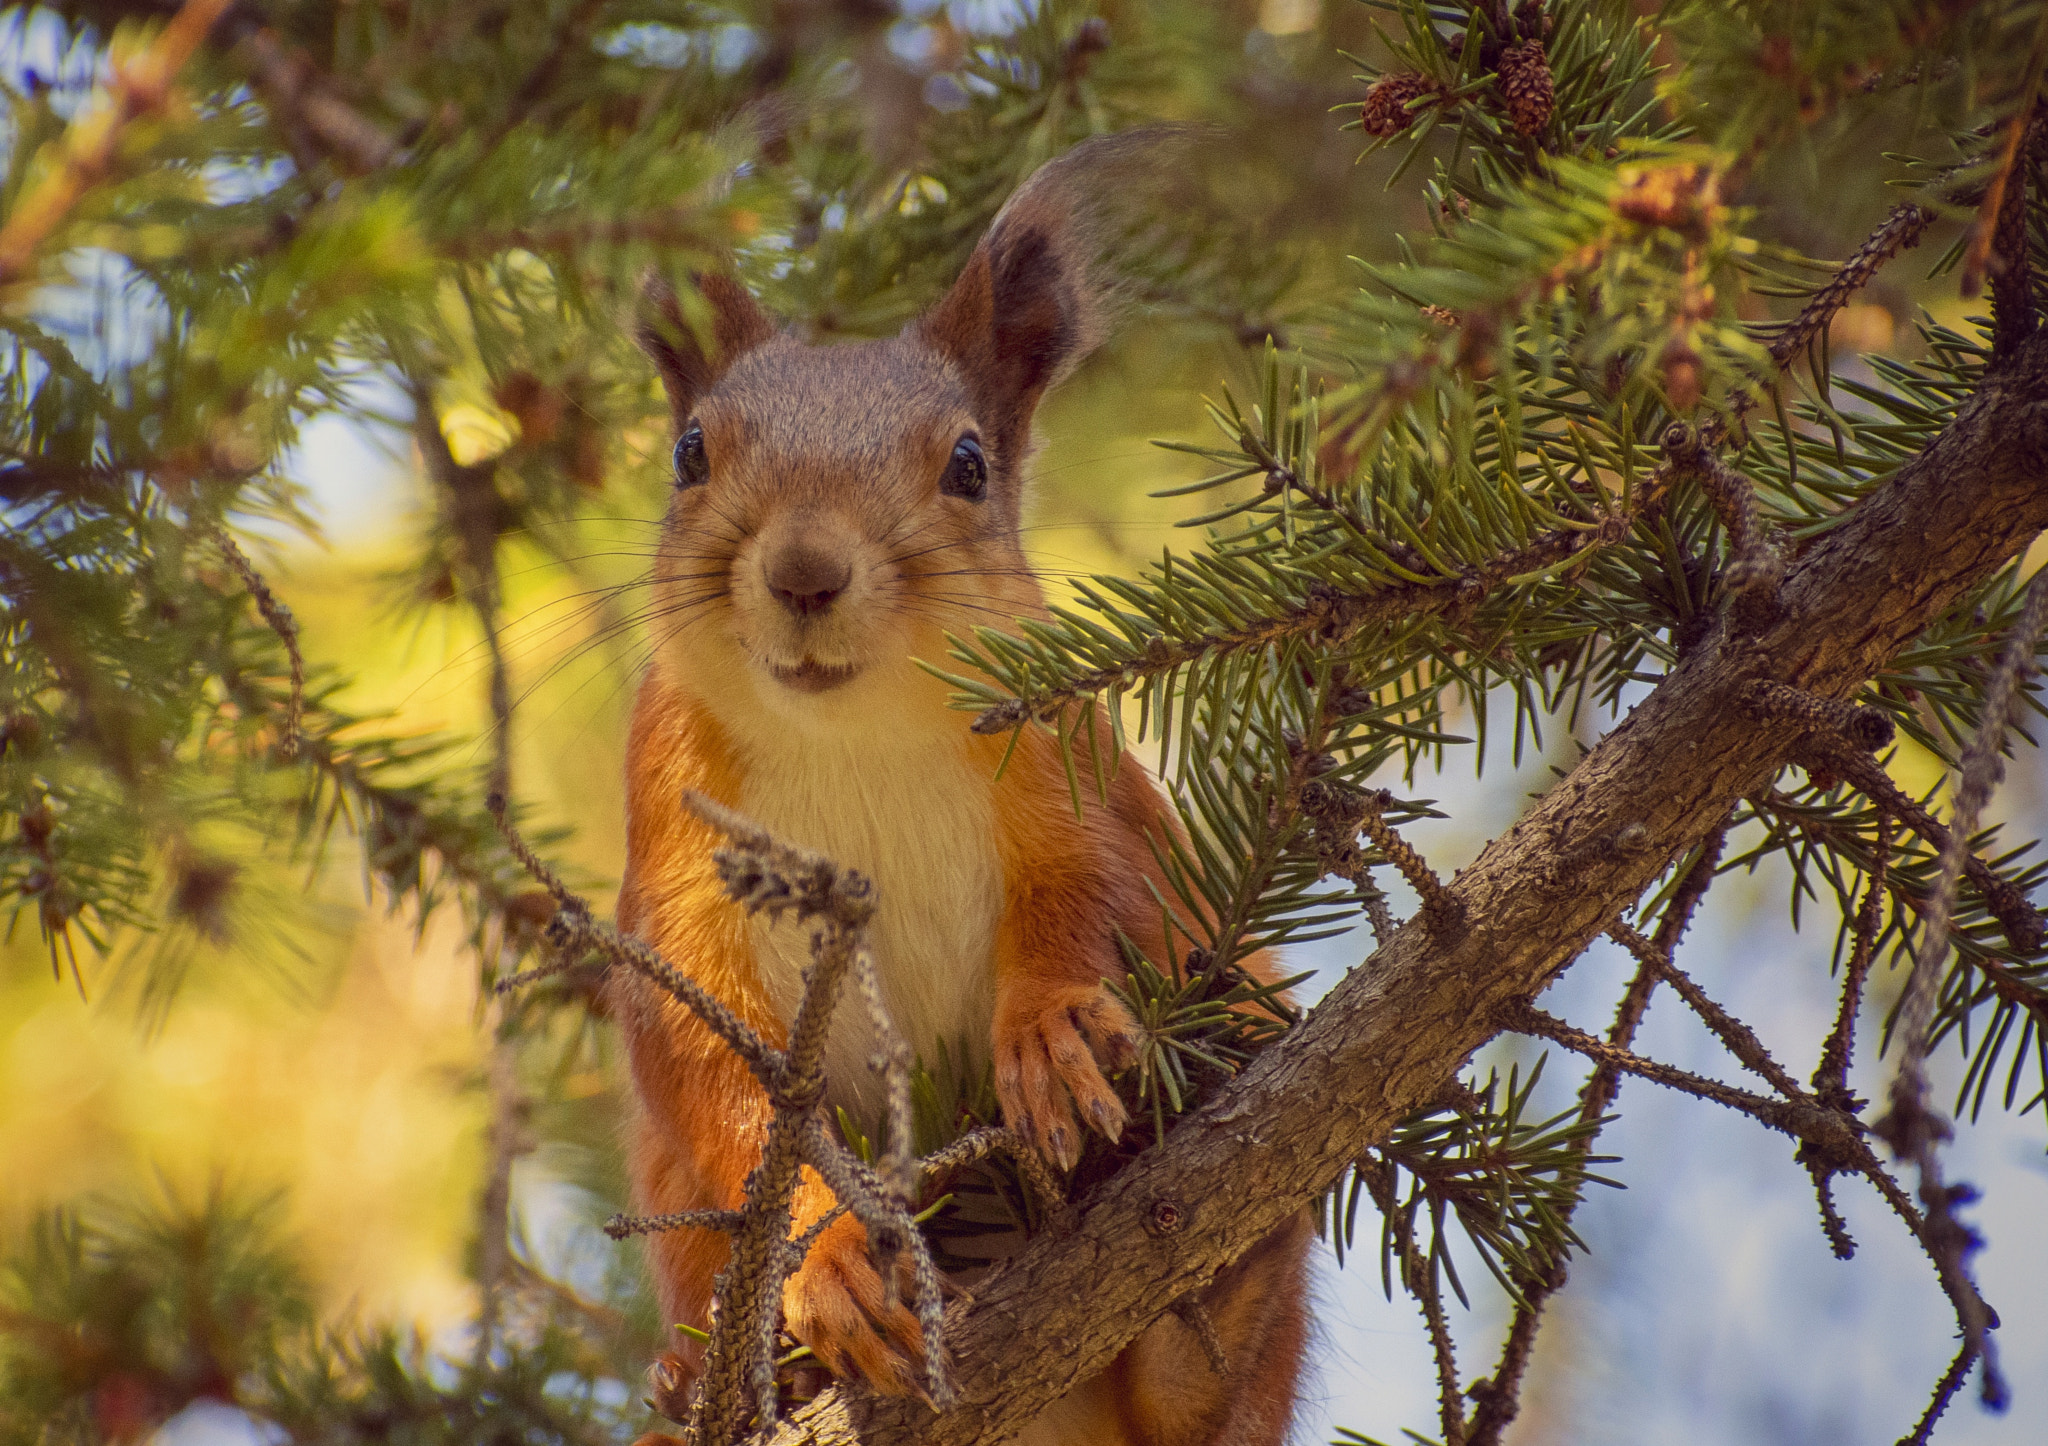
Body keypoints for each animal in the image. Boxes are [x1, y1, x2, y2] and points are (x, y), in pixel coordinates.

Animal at [610, 135, 1310, 1441]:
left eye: (969, 465)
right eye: (688, 454)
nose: (804, 570)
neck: (854, 735)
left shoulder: (1067, 754)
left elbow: (1095, 885)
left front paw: (1048, 1029)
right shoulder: (670, 856)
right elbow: (717, 1075)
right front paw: (829, 1260)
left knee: (1194, 1397)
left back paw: (1222, 1283)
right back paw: (710, 1378)